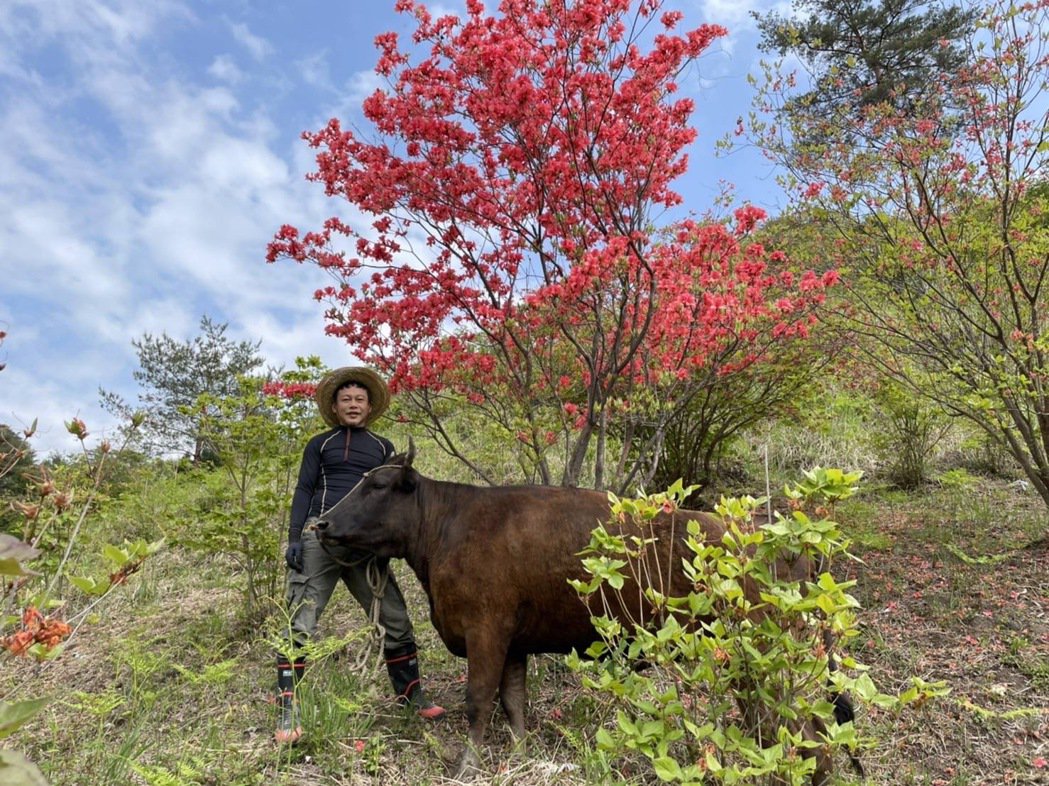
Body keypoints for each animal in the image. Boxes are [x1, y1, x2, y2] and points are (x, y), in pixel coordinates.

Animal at [314, 440, 855, 780]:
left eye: (377, 486)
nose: (320, 523)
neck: (447, 526)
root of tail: (785, 537)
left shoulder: (485, 631)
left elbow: (478, 700)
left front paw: (467, 766)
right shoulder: (514, 641)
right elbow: (513, 702)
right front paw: (520, 753)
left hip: (764, 658)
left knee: (802, 729)